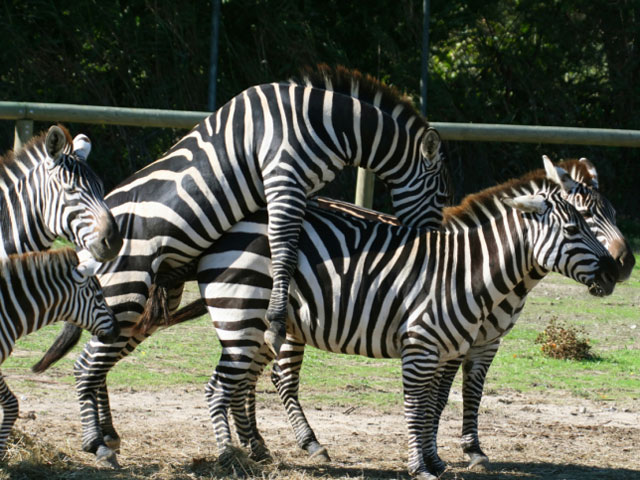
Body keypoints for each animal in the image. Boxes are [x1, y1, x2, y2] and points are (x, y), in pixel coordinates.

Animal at [28, 65, 450, 466]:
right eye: (443, 194)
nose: (433, 243)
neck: (323, 120)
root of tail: (91, 236)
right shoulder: (284, 177)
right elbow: (283, 246)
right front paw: (277, 317)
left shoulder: (298, 190)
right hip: (125, 287)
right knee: (89, 362)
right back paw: (97, 442)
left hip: (143, 300)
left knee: (102, 357)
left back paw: (109, 436)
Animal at [161, 159, 620, 478]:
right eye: (577, 226)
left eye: (602, 217)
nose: (617, 271)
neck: (468, 271)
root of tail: (229, 226)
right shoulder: (424, 347)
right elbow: (418, 408)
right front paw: (422, 466)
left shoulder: (458, 347)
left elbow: (438, 403)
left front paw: (438, 460)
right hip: (245, 316)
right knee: (223, 387)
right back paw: (231, 458)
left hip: (263, 325)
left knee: (243, 384)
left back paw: (260, 450)